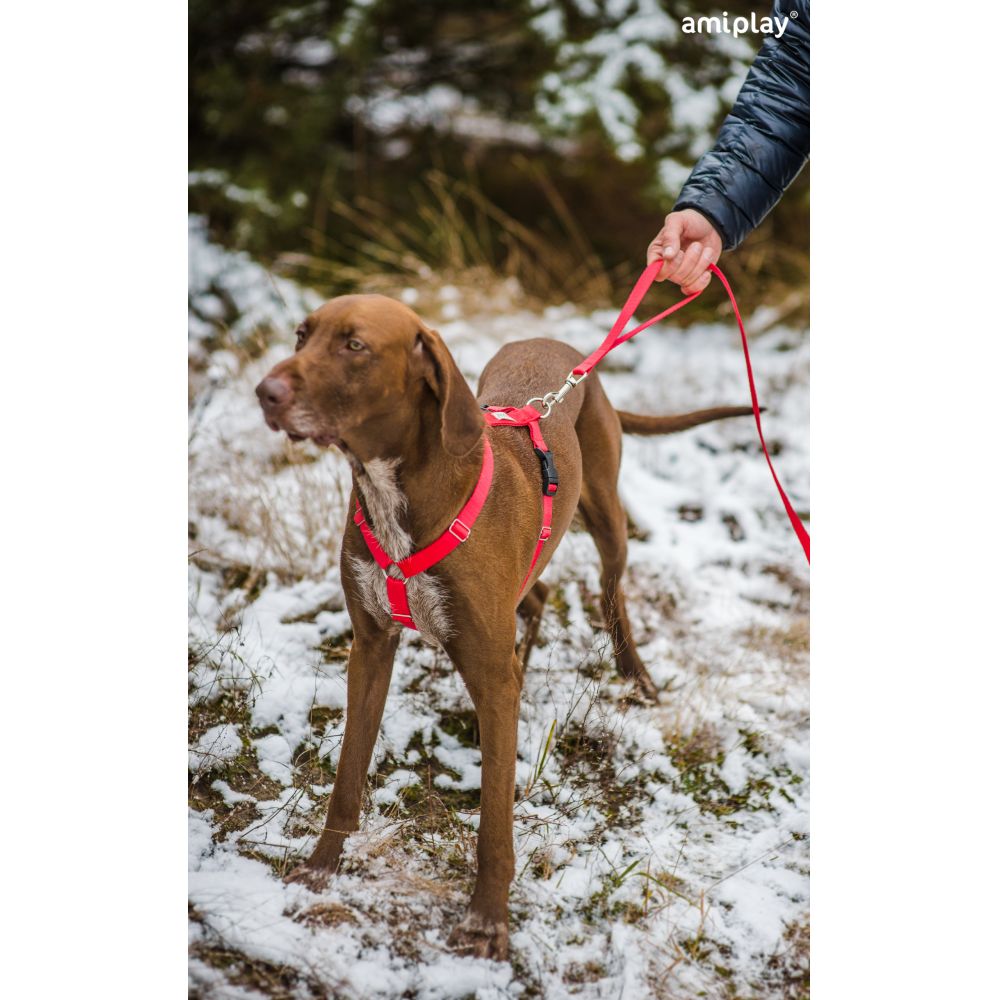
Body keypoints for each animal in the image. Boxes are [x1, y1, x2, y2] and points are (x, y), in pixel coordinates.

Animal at [256, 293, 753, 960]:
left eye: (354, 345)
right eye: (301, 334)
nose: (264, 392)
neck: (400, 493)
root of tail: (568, 352)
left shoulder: (487, 675)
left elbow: (494, 821)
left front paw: (488, 918)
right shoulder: (372, 647)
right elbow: (346, 778)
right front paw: (320, 868)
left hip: (608, 519)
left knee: (610, 593)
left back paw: (634, 675)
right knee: (535, 597)